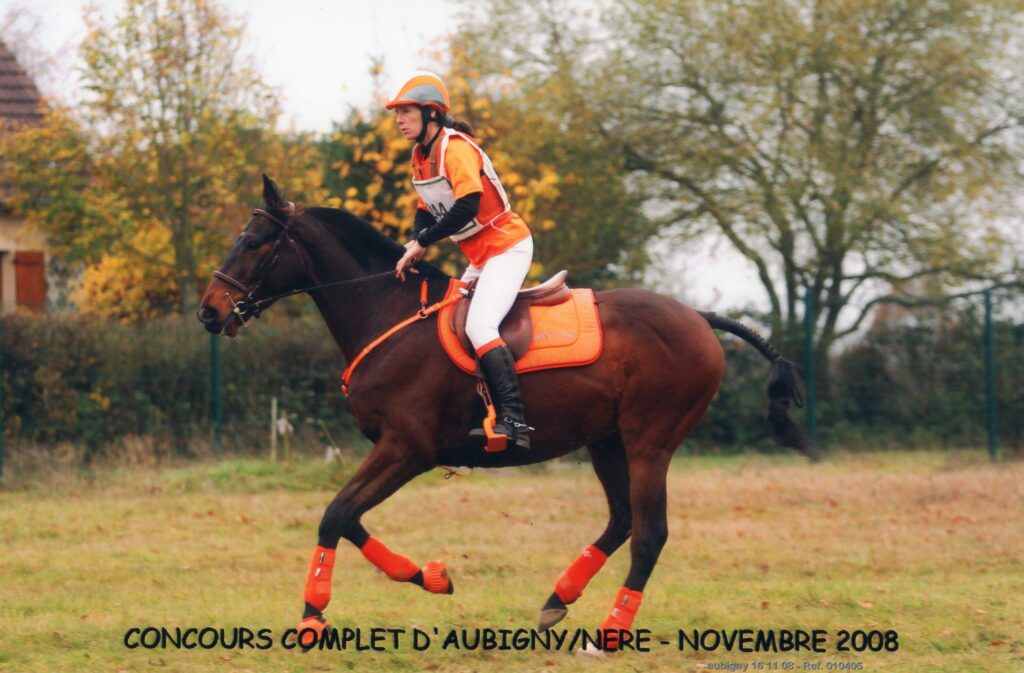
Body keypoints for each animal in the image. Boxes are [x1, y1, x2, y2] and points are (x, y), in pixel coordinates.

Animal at [197, 175, 813, 651]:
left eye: (253, 242)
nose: (209, 312)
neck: (388, 314)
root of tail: (699, 318)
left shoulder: (406, 449)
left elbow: (334, 515)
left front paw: (313, 615)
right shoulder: (397, 452)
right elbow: (348, 519)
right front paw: (431, 577)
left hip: (649, 441)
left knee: (650, 532)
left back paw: (610, 632)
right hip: (607, 440)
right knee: (622, 520)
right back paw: (557, 599)